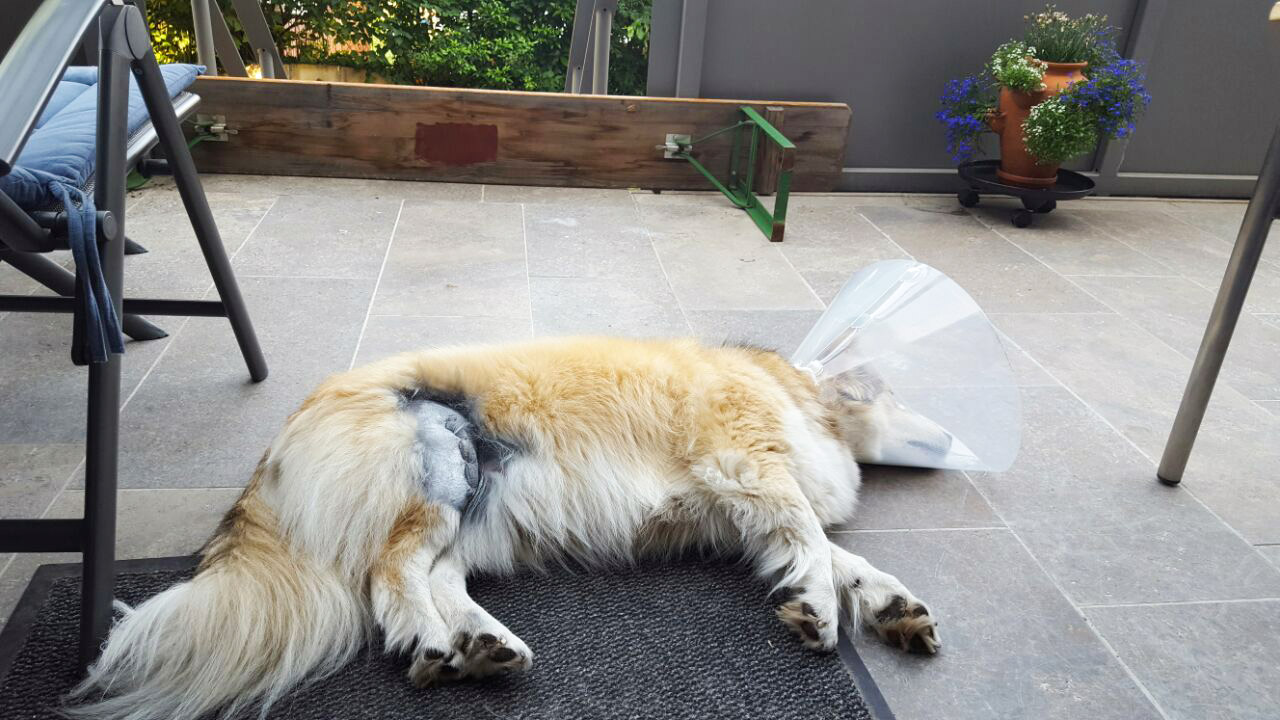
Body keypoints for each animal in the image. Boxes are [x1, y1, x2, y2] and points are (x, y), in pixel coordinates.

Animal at [67, 335, 942, 717]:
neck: (801, 395)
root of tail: (280, 443)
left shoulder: (742, 515)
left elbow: (838, 557)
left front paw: (893, 606)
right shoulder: (748, 469)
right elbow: (813, 544)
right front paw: (819, 611)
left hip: (480, 512)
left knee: (436, 578)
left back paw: (481, 646)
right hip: (441, 460)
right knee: (390, 575)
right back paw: (431, 646)